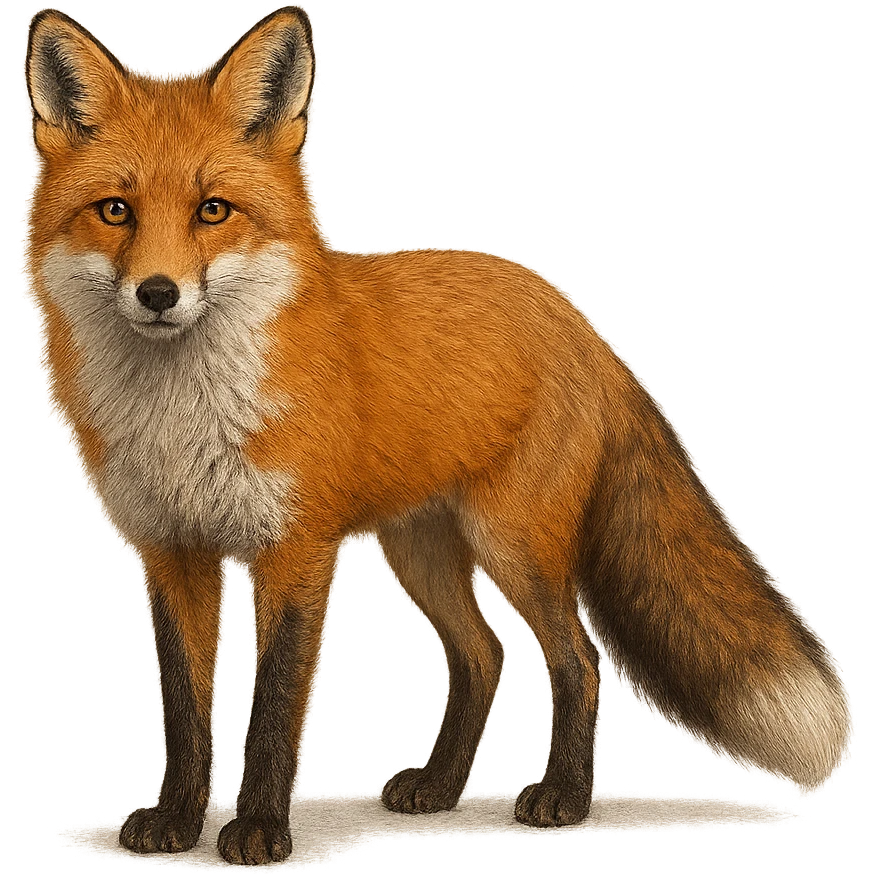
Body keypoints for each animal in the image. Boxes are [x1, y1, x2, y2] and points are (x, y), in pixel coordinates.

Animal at [23, 4, 851, 865]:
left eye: (212, 210)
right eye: (116, 210)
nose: (158, 293)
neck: (185, 417)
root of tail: (576, 315)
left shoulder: (296, 551)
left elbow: (276, 706)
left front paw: (257, 831)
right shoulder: (172, 550)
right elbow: (186, 709)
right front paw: (178, 822)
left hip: (513, 543)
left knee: (579, 656)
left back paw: (564, 798)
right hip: (418, 547)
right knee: (485, 654)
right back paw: (443, 787)